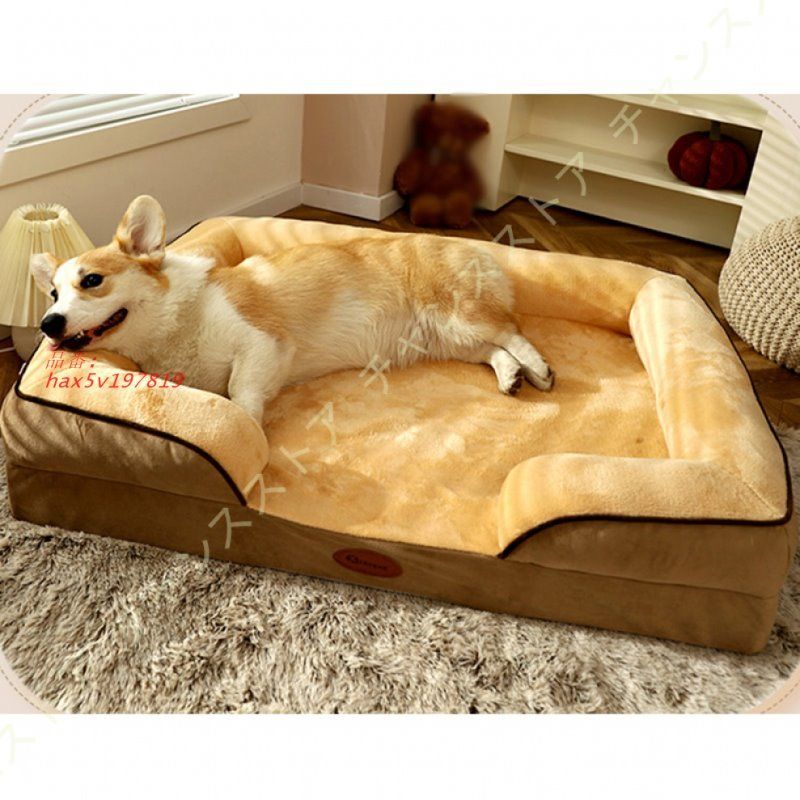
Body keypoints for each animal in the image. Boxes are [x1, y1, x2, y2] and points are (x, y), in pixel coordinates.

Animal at [30, 195, 553, 420]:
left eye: (92, 281)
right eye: (53, 294)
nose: (48, 324)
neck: (174, 322)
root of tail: (483, 251)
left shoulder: (261, 340)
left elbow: (240, 391)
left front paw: (246, 426)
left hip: (460, 314)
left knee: (513, 332)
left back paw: (541, 370)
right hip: (448, 339)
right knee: (492, 350)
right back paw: (511, 376)